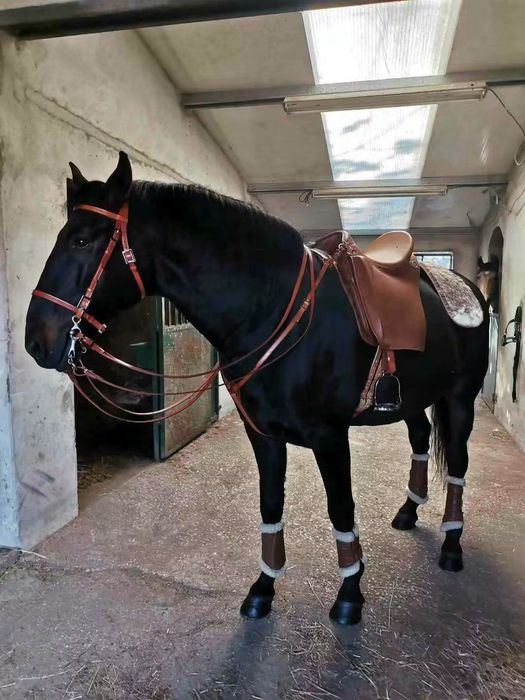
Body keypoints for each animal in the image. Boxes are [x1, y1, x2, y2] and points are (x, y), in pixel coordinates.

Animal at [25, 152, 489, 625]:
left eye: (82, 241)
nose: (36, 340)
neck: (273, 308)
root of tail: (467, 286)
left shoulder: (329, 437)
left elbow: (341, 509)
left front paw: (349, 594)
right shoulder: (262, 434)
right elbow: (270, 505)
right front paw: (263, 589)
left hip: (460, 400)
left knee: (459, 464)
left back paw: (452, 545)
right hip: (413, 400)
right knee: (420, 439)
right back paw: (408, 511)